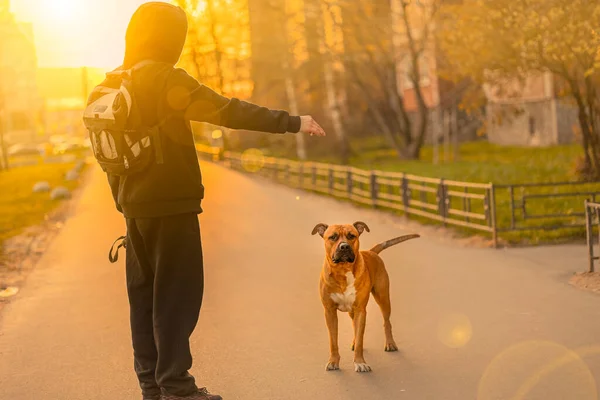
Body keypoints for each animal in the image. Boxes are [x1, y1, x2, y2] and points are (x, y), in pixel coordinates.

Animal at [312, 222, 420, 372]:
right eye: (332, 237)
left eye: (352, 236)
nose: (344, 246)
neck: (343, 271)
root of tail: (371, 251)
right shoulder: (330, 311)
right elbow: (333, 341)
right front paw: (333, 361)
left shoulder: (361, 310)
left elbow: (360, 339)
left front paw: (360, 362)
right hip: (353, 310)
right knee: (354, 325)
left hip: (383, 298)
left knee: (387, 322)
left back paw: (390, 343)